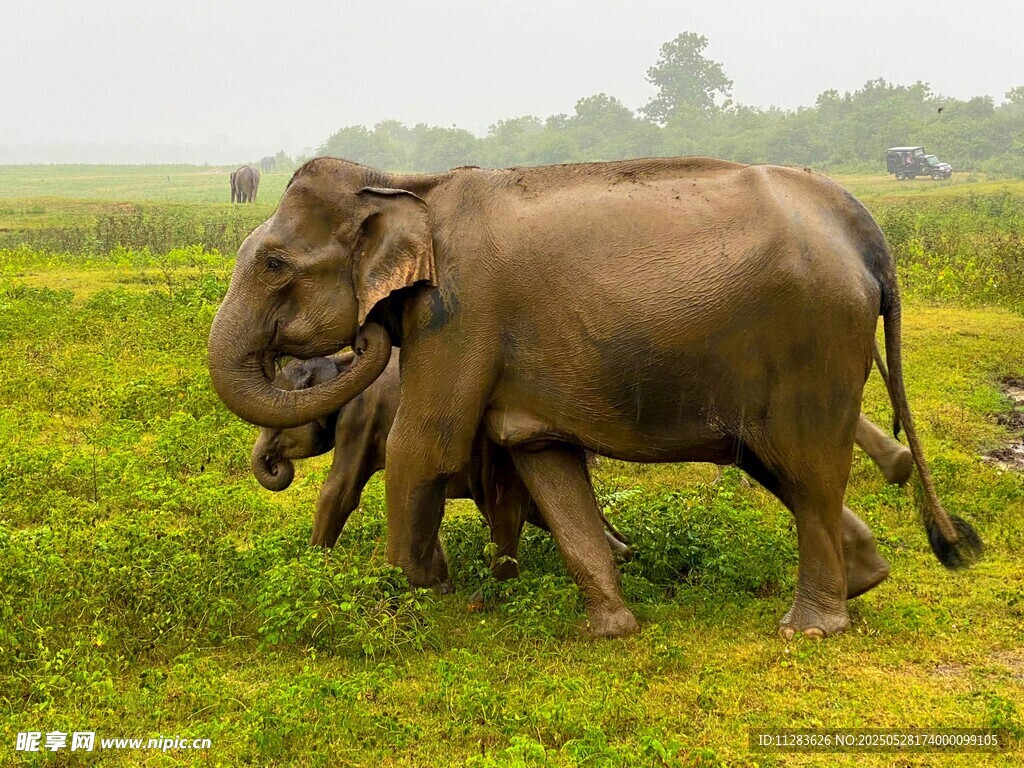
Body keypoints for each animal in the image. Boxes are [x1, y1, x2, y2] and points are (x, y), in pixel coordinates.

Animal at [250, 353, 631, 578]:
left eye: (274, 424)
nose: (274, 463)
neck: (342, 362)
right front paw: (436, 582)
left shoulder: (360, 418)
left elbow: (340, 492)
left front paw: (311, 568)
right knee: (539, 512)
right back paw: (624, 557)